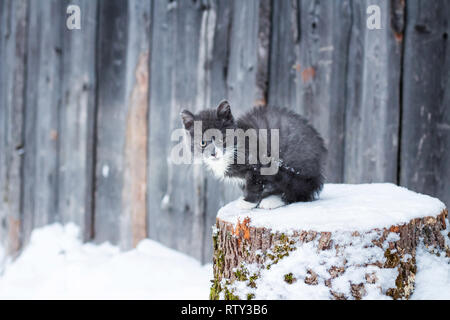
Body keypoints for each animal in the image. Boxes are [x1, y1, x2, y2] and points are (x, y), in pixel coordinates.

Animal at [180, 100, 326, 210]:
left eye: (222, 138)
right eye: (203, 143)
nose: (213, 153)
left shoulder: (257, 165)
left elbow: (254, 183)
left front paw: (247, 202)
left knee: (299, 191)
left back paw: (273, 201)